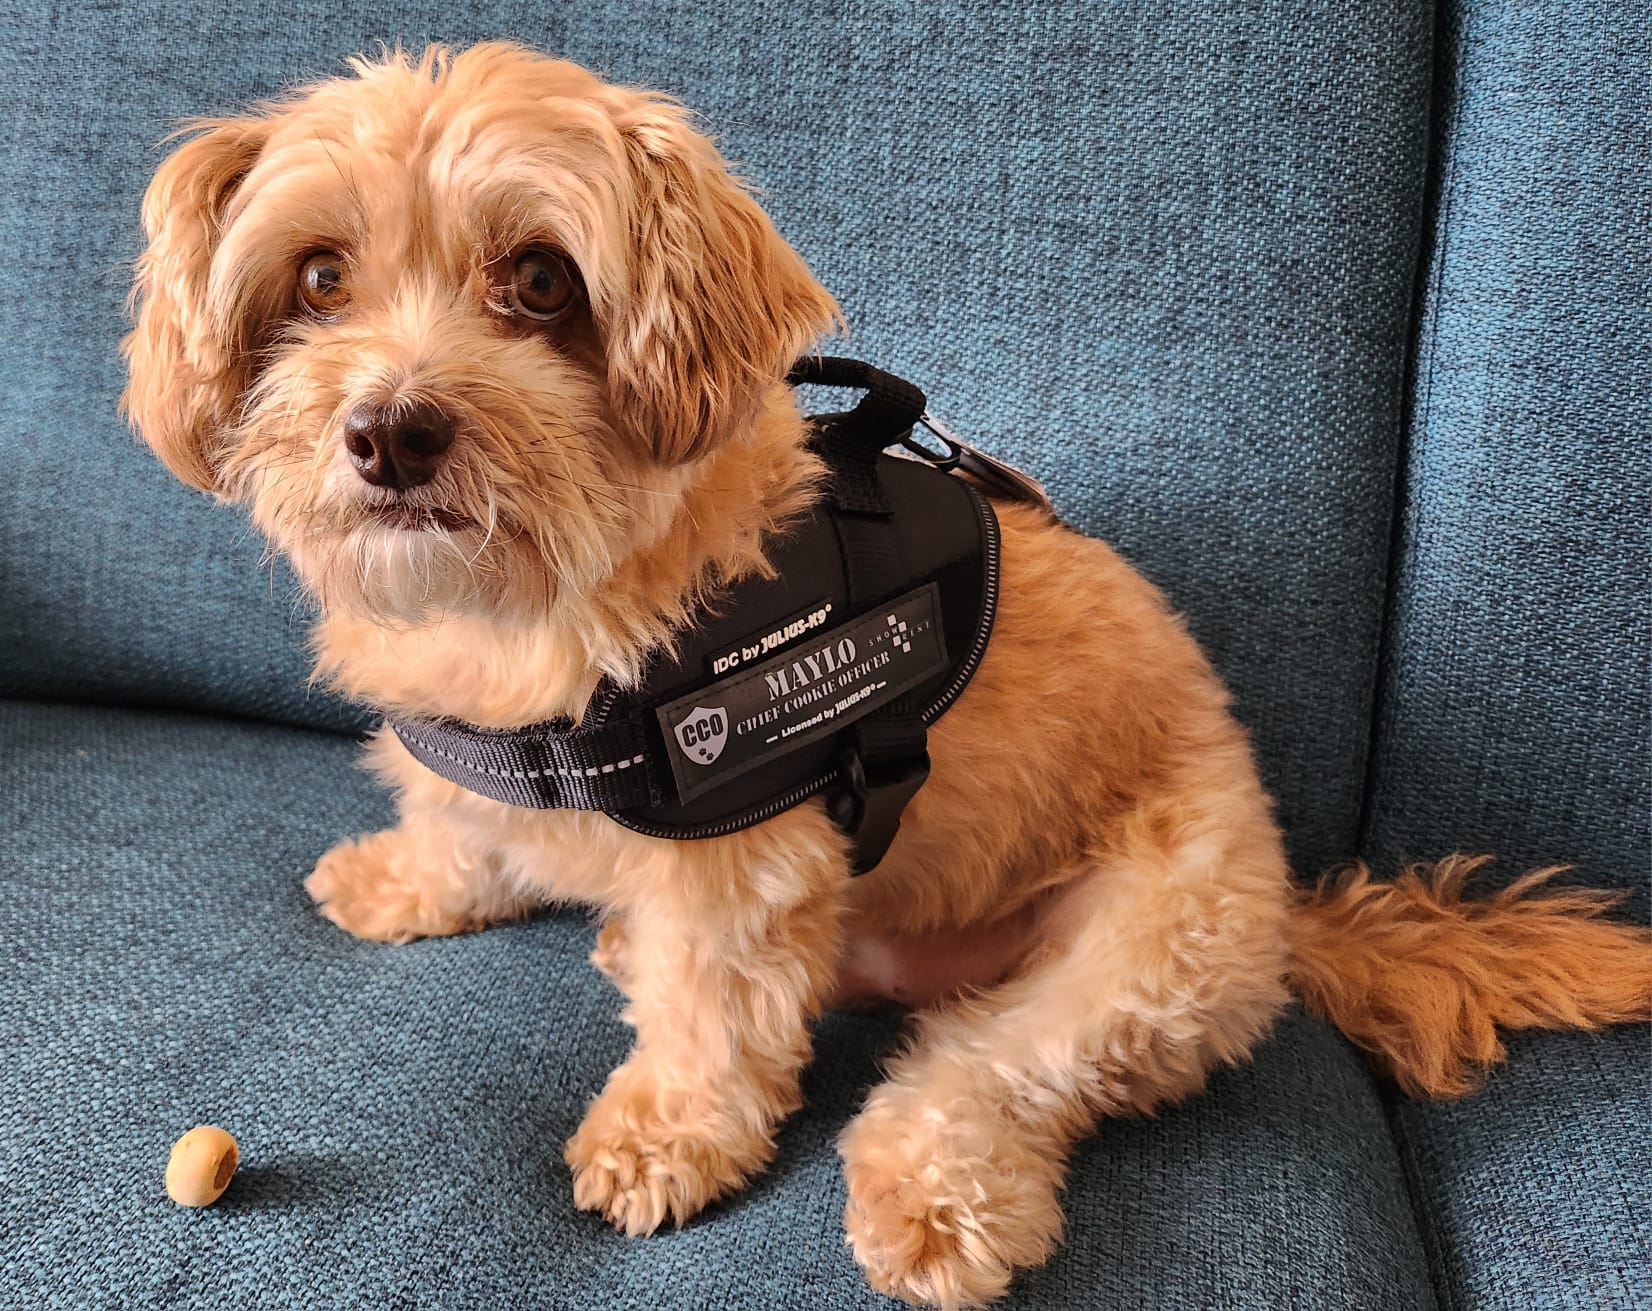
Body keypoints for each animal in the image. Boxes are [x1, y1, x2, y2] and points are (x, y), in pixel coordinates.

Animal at [122, 43, 1650, 1308]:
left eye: (542, 280)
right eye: (320, 279)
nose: (391, 431)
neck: (531, 610)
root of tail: (1290, 917)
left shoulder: (741, 866)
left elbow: (712, 1018)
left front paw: (664, 1135)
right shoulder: (489, 763)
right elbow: (464, 821)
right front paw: (407, 879)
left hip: (1146, 953)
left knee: (989, 1068)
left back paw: (930, 1199)